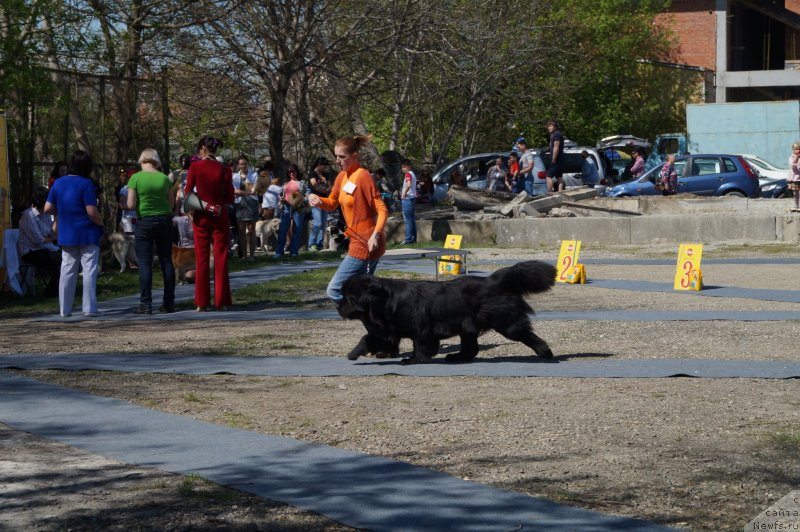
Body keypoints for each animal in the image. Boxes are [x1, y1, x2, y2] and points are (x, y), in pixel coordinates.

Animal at [334, 260, 552, 364]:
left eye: (349, 298)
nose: (337, 305)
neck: (385, 300)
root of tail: (494, 280)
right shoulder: (388, 333)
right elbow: (367, 338)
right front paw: (354, 354)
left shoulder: (421, 331)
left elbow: (421, 347)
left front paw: (413, 360)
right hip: (468, 327)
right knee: (471, 349)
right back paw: (457, 357)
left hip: (507, 323)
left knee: (528, 335)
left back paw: (546, 353)